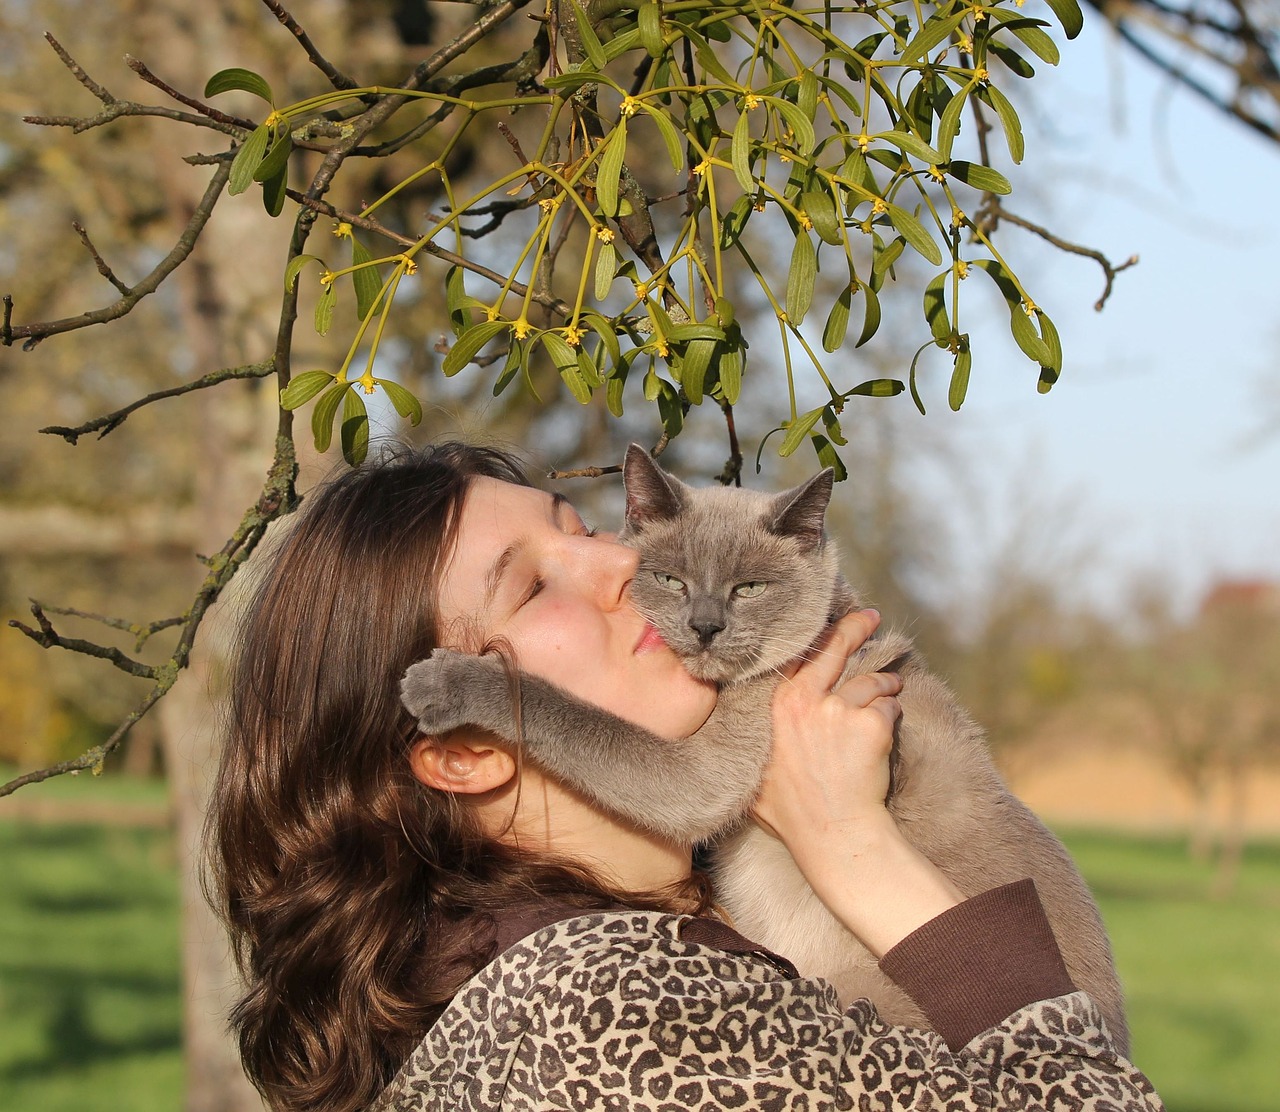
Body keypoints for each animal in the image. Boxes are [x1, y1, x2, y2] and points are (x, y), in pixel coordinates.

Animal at [401, 442, 1131, 1049]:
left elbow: (562, 708)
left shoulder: (702, 772)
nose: (704, 626)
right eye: (670, 579)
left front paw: (435, 681)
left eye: (749, 588)